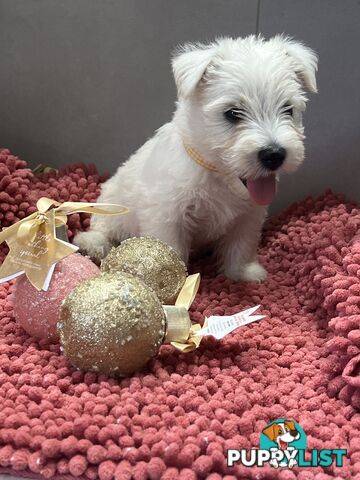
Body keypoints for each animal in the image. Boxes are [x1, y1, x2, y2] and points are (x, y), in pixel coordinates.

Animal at [74, 35, 316, 282]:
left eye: (288, 109)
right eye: (232, 113)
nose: (274, 154)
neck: (217, 174)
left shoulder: (249, 215)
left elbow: (241, 244)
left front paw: (243, 274)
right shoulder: (168, 217)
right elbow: (171, 250)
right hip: (112, 207)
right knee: (101, 229)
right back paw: (92, 244)